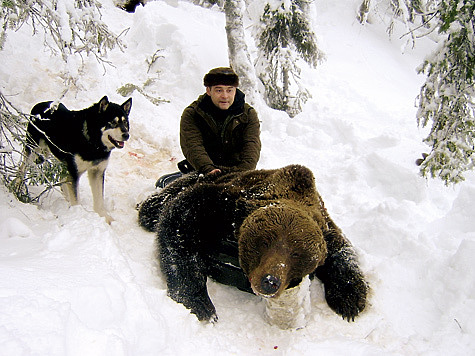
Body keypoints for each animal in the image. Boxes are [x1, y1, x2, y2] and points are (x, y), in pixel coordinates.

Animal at [20, 94, 132, 222]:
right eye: (113, 122)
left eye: (125, 122)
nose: (126, 135)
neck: (93, 143)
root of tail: (40, 104)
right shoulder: (74, 172)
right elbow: (76, 198)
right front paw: (78, 214)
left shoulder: (97, 172)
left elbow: (99, 199)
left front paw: (105, 217)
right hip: (33, 150)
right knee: (22, 168)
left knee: (62, 179)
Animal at [138, 165, 368, 324]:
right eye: (265, 243)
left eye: (297, 255)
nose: (270, 280)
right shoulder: (226, 201)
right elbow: (181, 217)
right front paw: (200, 303)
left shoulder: (325, 226)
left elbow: (342, 251)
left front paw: (351, 299)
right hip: (208, 175)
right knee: (162, 201)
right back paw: (148, 204)